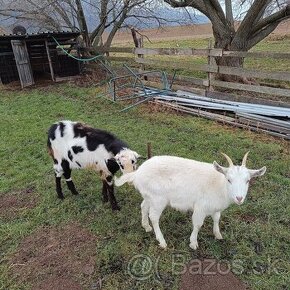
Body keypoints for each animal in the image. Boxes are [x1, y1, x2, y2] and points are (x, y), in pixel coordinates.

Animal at [114, 152, 266, 249]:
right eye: (229, 179)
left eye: (248, 181)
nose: (239, 198)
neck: (219, 185)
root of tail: (137, 173)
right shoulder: (200, 207)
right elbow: (198, 224)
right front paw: (193, 243)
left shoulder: (215, 207)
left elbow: (217, 219)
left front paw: (218, 234)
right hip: (158, 199)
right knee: (154, 217)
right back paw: (162, 241)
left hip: (149, 195)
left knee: (143, 207)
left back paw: (146, 226)